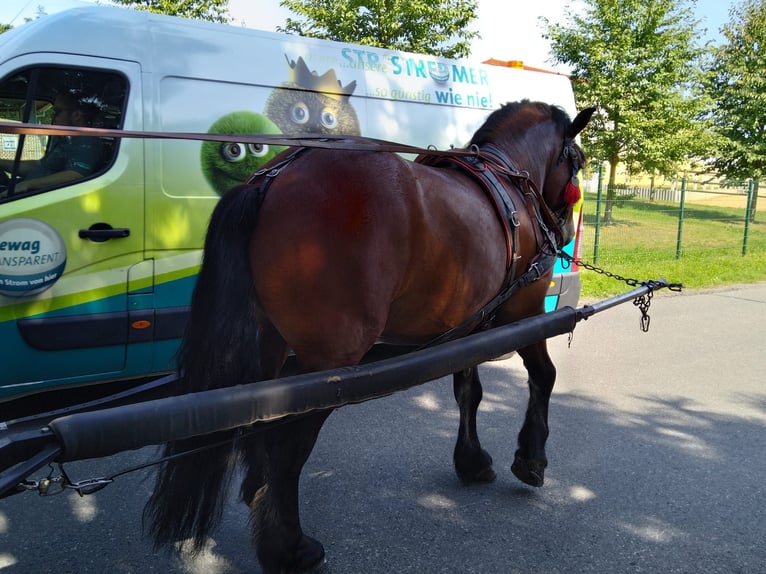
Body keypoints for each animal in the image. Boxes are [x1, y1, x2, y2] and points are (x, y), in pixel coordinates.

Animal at [147, 100, 596, 574]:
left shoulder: (471, 323)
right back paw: (288, 545)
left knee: (259, 416)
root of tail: (275, 175)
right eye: (578, 161)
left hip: (270, 343)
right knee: (288, 444)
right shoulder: (523, 314)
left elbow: (468, 392)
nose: (565, 233)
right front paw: (531, 458)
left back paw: (259, 494)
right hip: (330, 362)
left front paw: (471, 461)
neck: (511, 181)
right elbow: (543, 376)